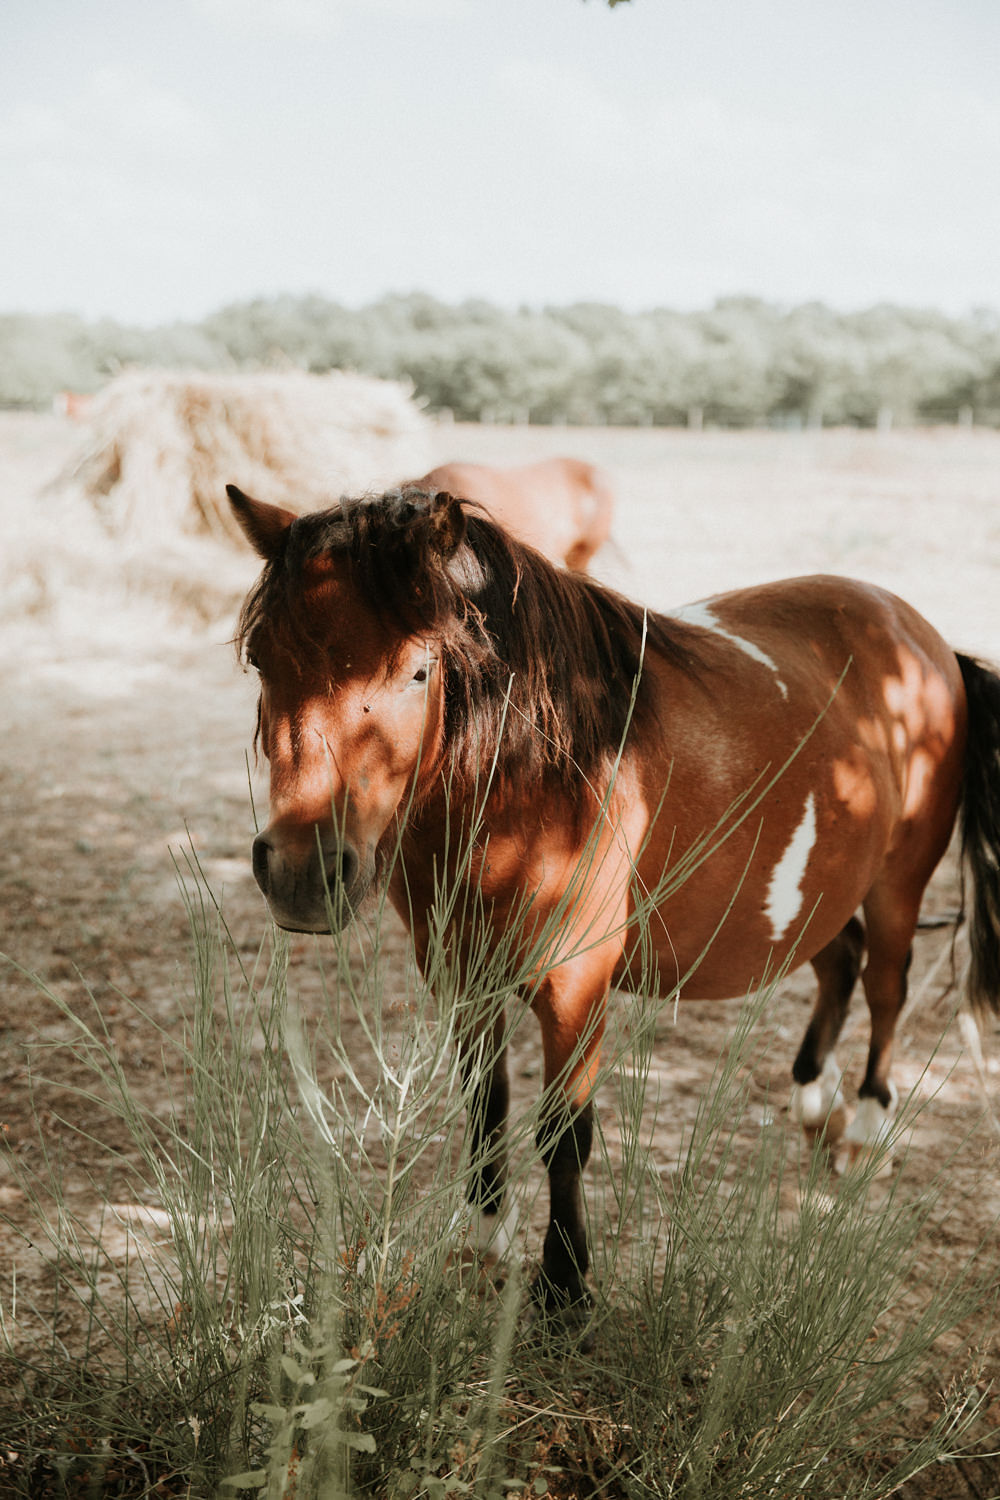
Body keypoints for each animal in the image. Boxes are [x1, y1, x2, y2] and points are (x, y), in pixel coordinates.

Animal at [229, 486, 1000, 1332]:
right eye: (262, 659)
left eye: (417, 671)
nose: (302, 870)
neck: (538, 780)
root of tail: (925, 639)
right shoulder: (465, 981)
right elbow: (485, 1108)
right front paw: (484, 1244)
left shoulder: (576, 987)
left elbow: (564, 1133)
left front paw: (565, 1290)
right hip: (818, 885)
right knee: (841, 961)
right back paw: (810, 1100)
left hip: (897, 883)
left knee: (887, 986)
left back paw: (863, 1127)